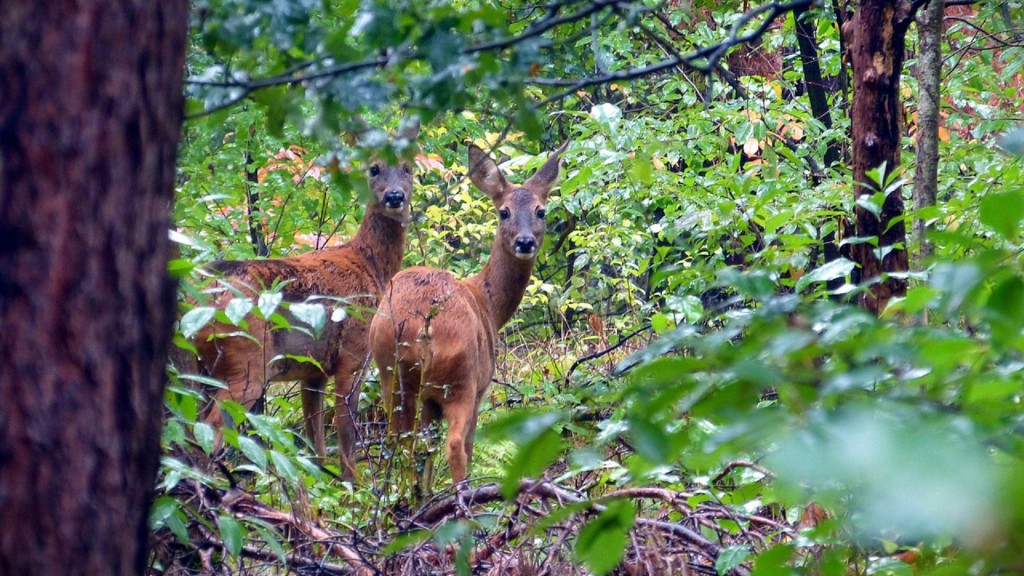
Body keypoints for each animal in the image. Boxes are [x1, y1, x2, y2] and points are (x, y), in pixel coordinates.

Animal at [195, 118, 419, 477]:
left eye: (408, 167)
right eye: (374, 168)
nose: (395, 196)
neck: (371, 266)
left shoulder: (313, 372)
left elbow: (317, 448)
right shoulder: (353, 354)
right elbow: (345, 439)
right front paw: (351, 487)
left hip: (203, 368)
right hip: (247, 361)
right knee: (212, 427)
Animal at [368, 140, 569, 487]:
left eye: (541, 210)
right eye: (504, 211)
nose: (525, 241)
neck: (488, 305)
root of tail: (421, 325)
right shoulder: (481, 386)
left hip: (390, 373)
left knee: (403, 444)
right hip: (460, 378)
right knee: (456, 446)